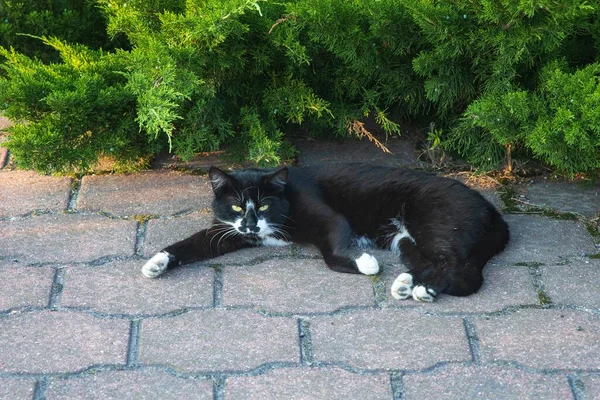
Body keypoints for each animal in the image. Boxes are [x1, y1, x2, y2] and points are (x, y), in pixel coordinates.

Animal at [143, 164, 508, 302]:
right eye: (235, 207)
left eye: (263, 206)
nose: (250, 225)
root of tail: (494, 213)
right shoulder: (227, 232)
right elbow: (195, 243)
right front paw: (156, 263)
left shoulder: (329, 217)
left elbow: (332, 253)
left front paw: (366, 263)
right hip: (408, 239)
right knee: (436, 263)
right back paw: (407, 283)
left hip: (437, 224)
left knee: (459, 269)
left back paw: (426, 289)